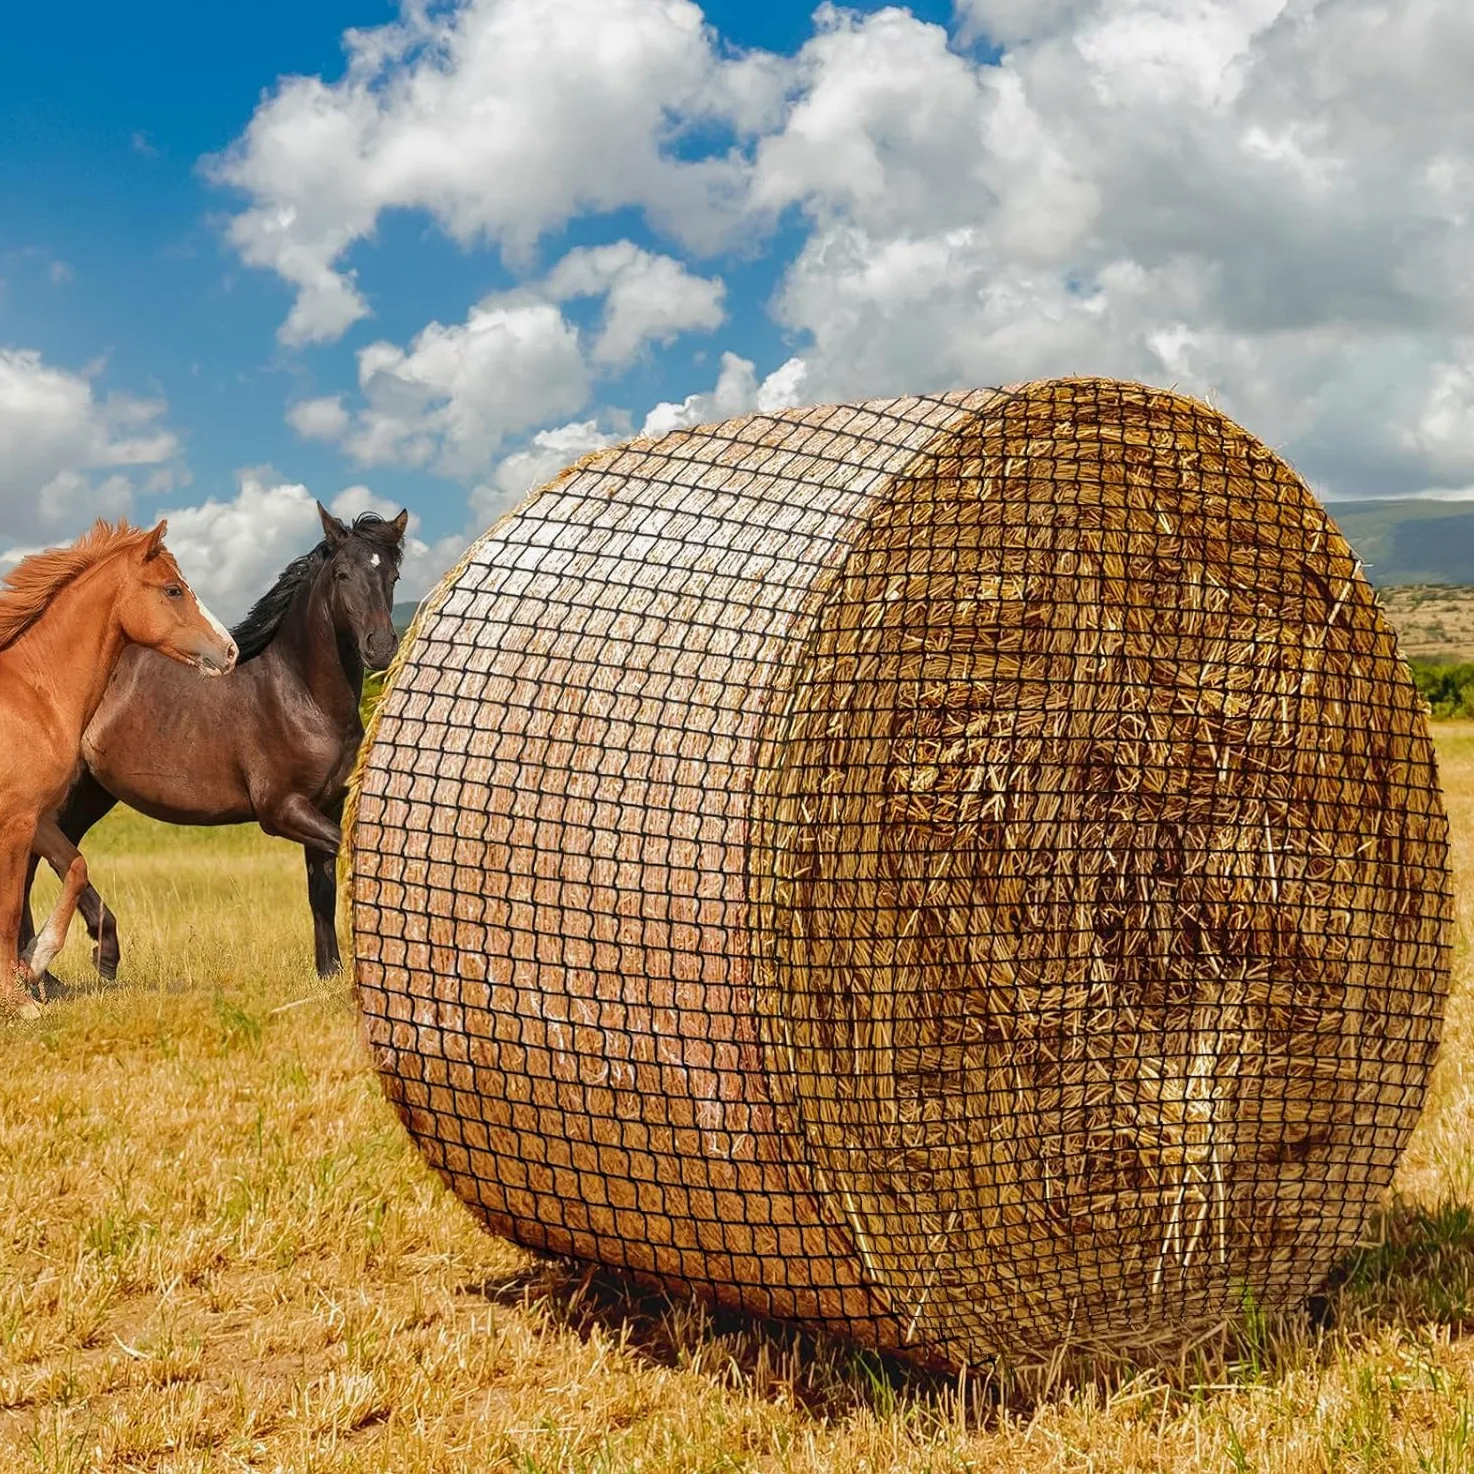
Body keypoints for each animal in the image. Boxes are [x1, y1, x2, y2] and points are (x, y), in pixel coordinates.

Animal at [0, 518, 237, 1018]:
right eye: (173, 590)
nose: (230, 651)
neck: (35, 695)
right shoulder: (15, 821)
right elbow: (9, 909)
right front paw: (19, 1001)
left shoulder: (38, 817)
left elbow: (76, 867)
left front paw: (35, 961)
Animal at [22, 503, 406, 984]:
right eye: (341, 574)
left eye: (392, 575)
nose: (381, 646)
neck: (301, 695)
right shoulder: (282, 810)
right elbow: (351, 850)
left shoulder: (325, 806)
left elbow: (321, 893)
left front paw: (329, 974)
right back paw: (67, 962)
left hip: (92, 794)